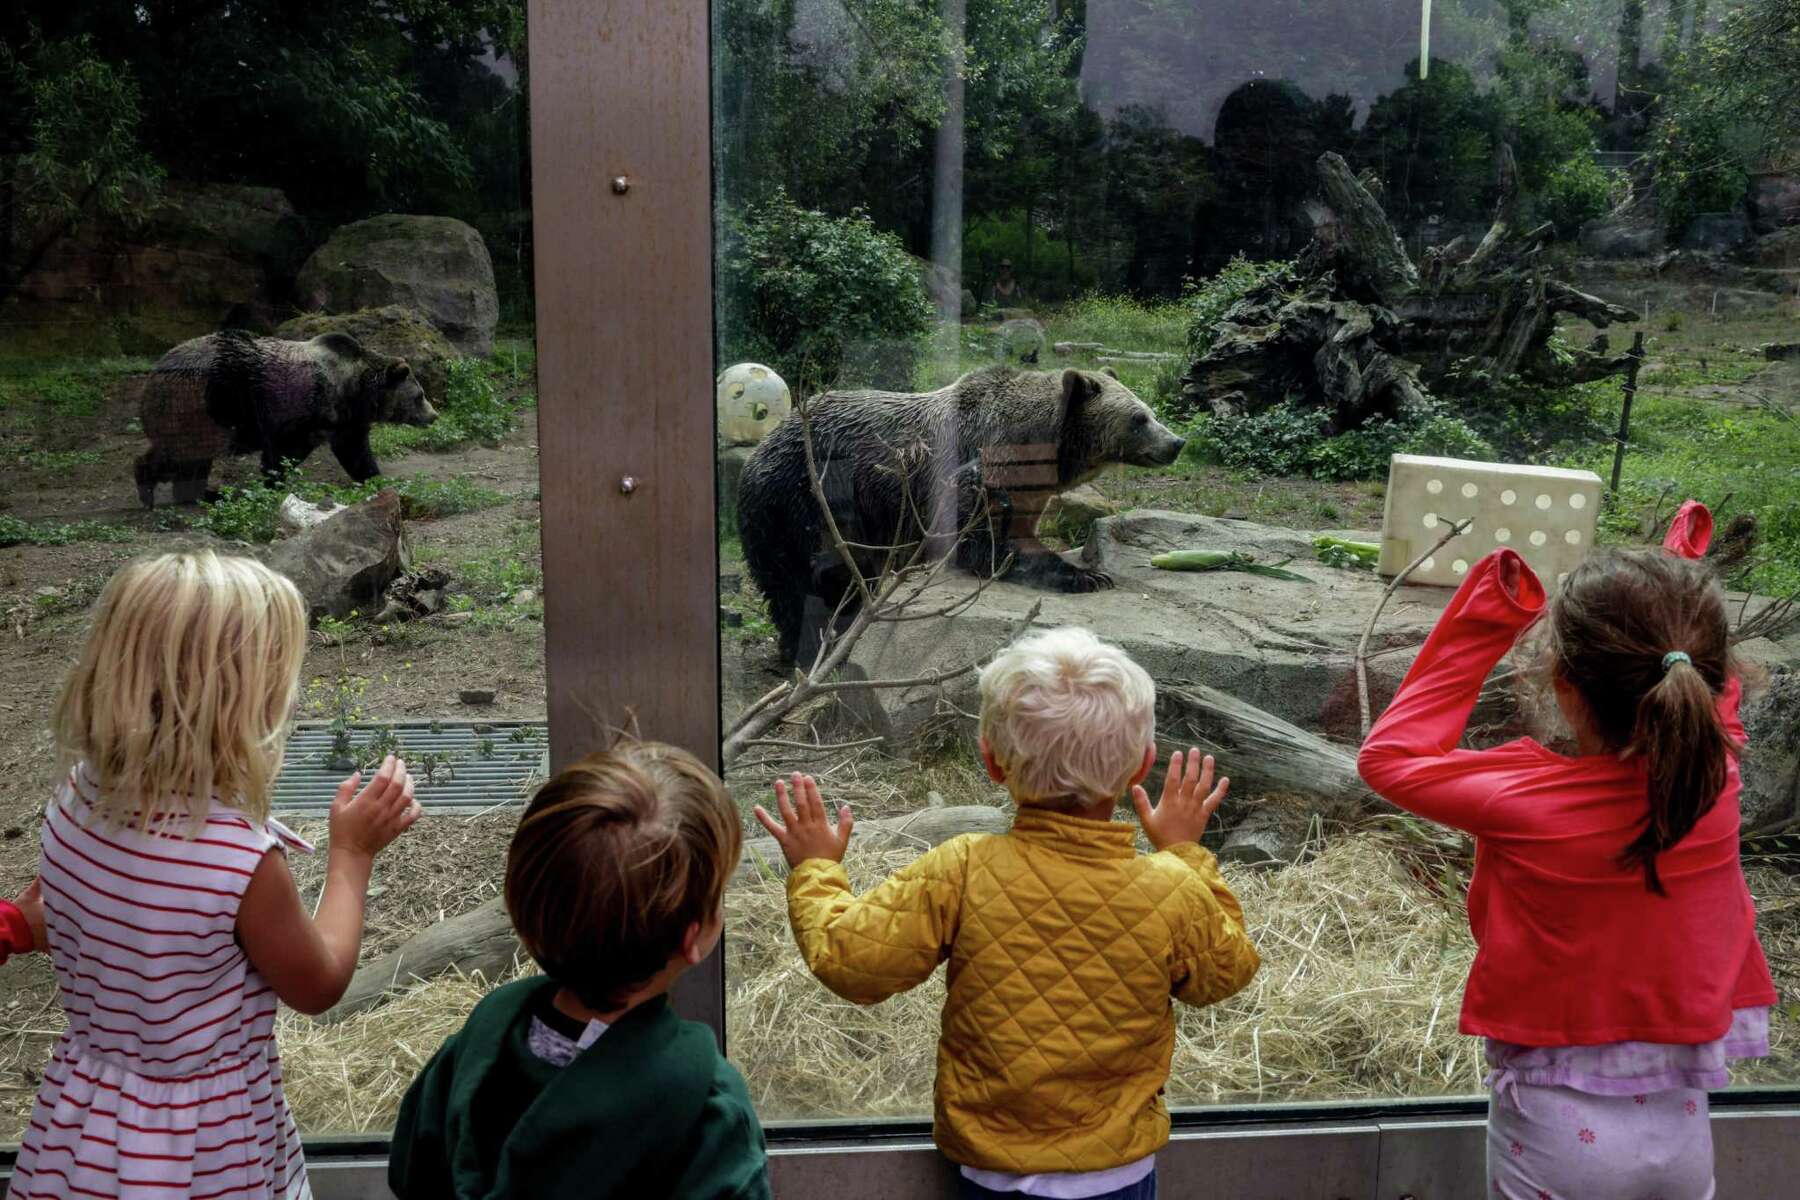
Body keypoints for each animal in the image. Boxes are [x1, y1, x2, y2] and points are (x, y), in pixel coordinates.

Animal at [134, 331, 439, 510]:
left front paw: (374, 478)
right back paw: (157, 490)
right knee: (184, 455)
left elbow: (355, 453)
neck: (353, 388)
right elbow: (283, 452)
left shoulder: (344, 421)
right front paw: (273, 484)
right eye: (420, 395)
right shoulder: (301, 409)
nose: (434, 416)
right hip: (204, 403)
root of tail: (154, 373)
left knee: (186, 458)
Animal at [738, 367, 1188, 665]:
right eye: (1139, 418)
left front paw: (1088, 571)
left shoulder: (1028, 492)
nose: (1176, 442)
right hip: (799, 501)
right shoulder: (975, 473)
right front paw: (1087, 575)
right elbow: (982, 545)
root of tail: (762, 447)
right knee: (800, 580)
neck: (1037, 449)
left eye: (1149, 410)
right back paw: (812, 648)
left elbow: (1021, 536)